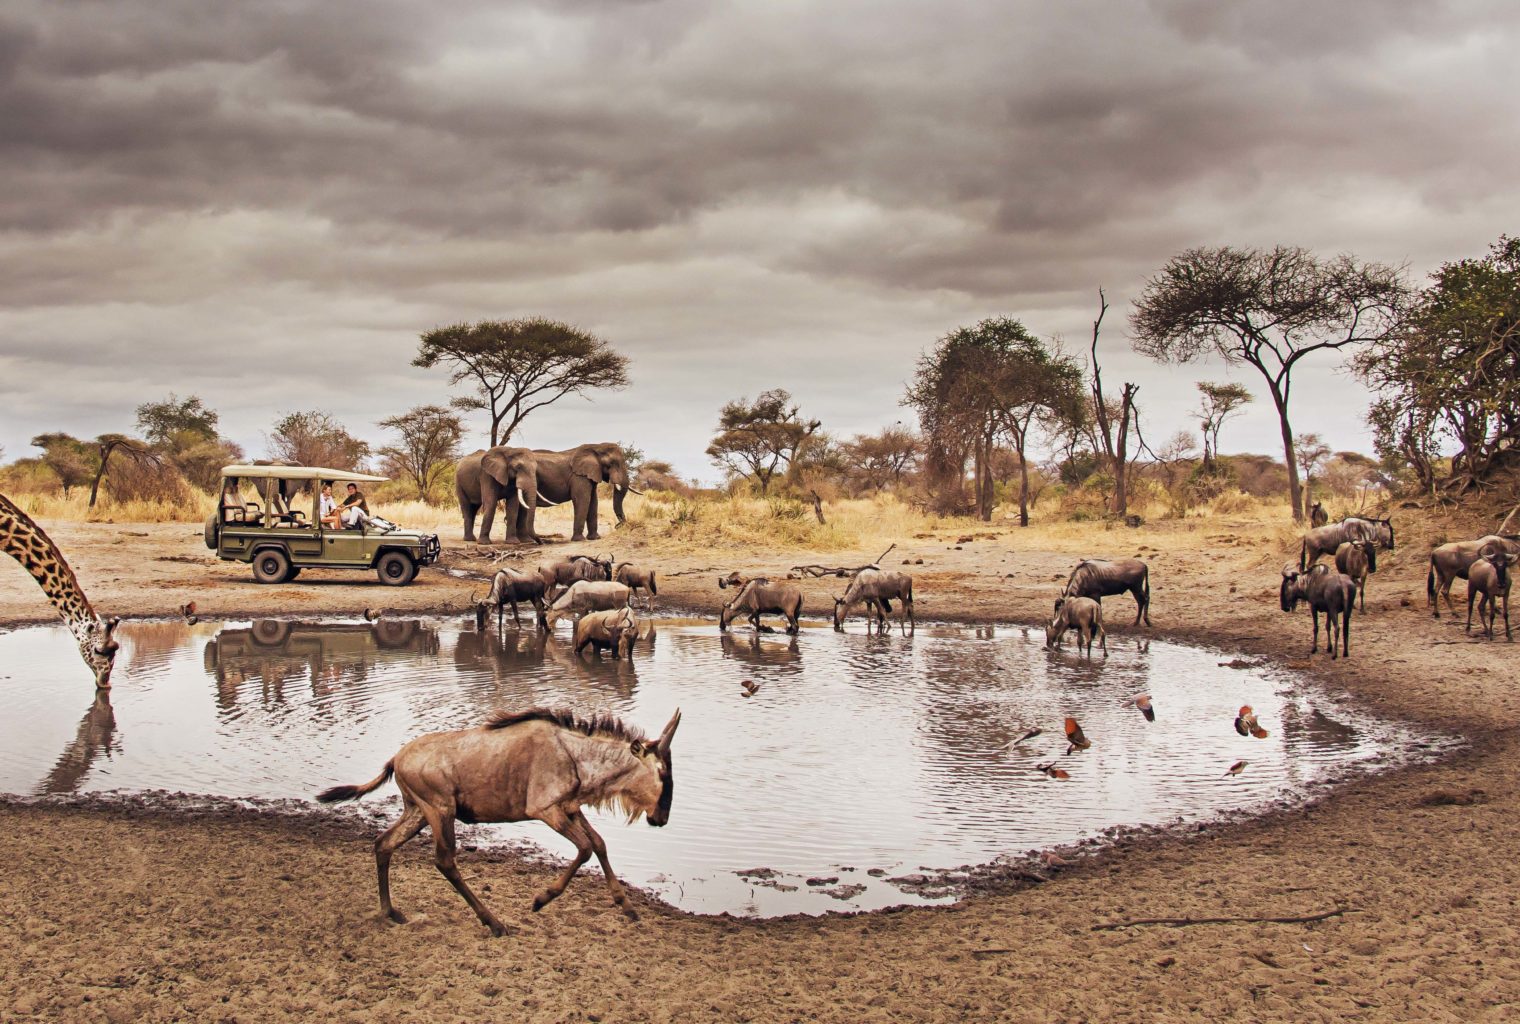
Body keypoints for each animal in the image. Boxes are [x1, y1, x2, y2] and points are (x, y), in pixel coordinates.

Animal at [459, 443, 632, 546]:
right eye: (613, 464)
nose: (618, 526)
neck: (595, 447)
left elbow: (593, 502)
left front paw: (595, 539)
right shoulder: (579, 477)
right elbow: (582, 500)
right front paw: (579, 540)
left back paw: (526, 541)